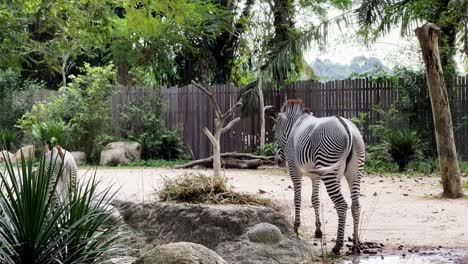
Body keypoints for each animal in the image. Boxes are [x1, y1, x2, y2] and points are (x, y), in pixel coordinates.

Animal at [266, 98, 366, 254]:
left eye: (274, 131)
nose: (278, 161)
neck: (296, 125)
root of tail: (346, 128)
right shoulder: (316, 176)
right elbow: (315, 200)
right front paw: (318, 230)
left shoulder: (294, 170)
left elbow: (297, 198)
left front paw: (296, 227)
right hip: (355, 171)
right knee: (355, 205)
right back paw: (356, 245)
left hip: (329, 168)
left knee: (342, 205)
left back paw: (337, 246)